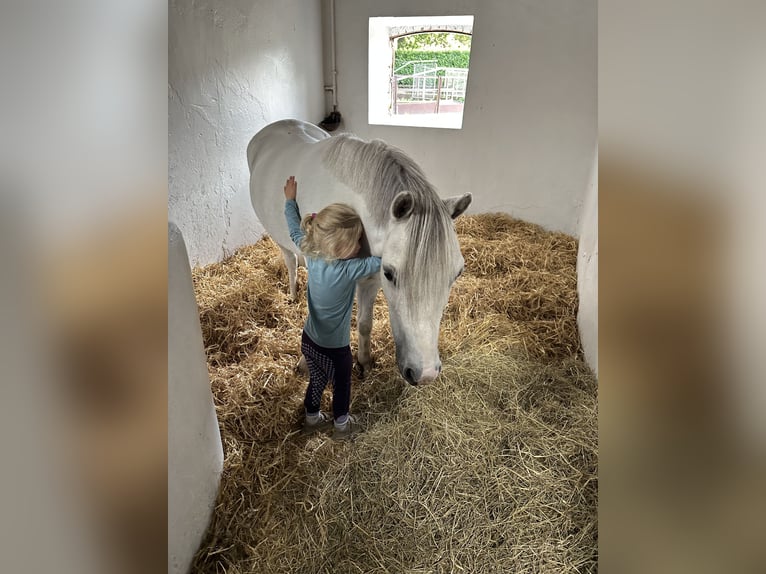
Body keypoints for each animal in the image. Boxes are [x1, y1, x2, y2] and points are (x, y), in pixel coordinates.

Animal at [249, 118, 472, 384]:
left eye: (457, 274)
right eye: (390, 274)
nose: (425, 374)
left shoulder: (370, 280)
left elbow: (365, 323)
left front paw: (364, 362)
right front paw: (305, 363)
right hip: (280, 239)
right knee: (291, 261)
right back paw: (293, 294)